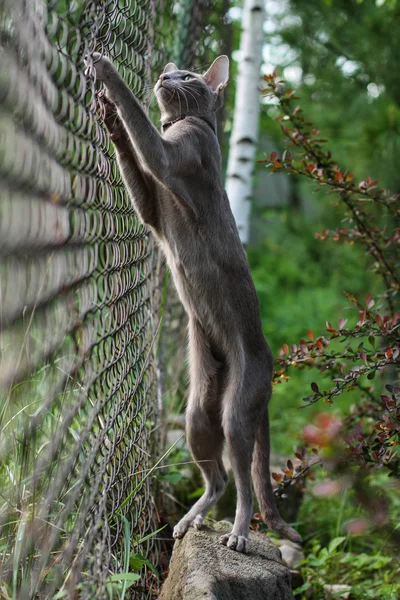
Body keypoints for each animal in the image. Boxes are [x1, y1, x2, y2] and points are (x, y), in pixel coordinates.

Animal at [90, 52, 304, 552]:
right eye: (172, 72)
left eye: (186, 76)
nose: (165, 76)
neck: (186, 123)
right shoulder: (152, 208)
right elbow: (134, 166)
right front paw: (109, 118)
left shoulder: (174, 157)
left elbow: (145, 131)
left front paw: (107, 72)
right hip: (197, 413)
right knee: (218, 479)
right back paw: (189, 521)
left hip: (237, 410)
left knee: (244, 484)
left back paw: (239, 535)